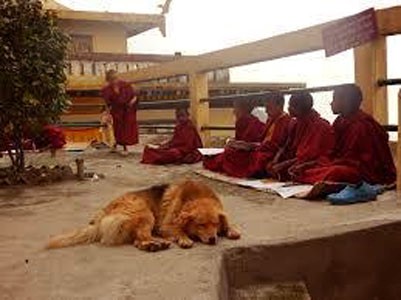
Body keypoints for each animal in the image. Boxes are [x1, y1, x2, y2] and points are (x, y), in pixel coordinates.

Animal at [47, 180, 241, 251]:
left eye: (215, 224)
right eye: (201, 225)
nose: (213, 239)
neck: (198, 196)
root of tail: (104, 214)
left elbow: (229, 222)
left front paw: (231, 229)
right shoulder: (166, 225)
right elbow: (178, 230)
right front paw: (184, 238)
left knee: (137, 241)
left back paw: (153, 245)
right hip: (146, 214)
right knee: (142, 237)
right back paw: (155, 244)